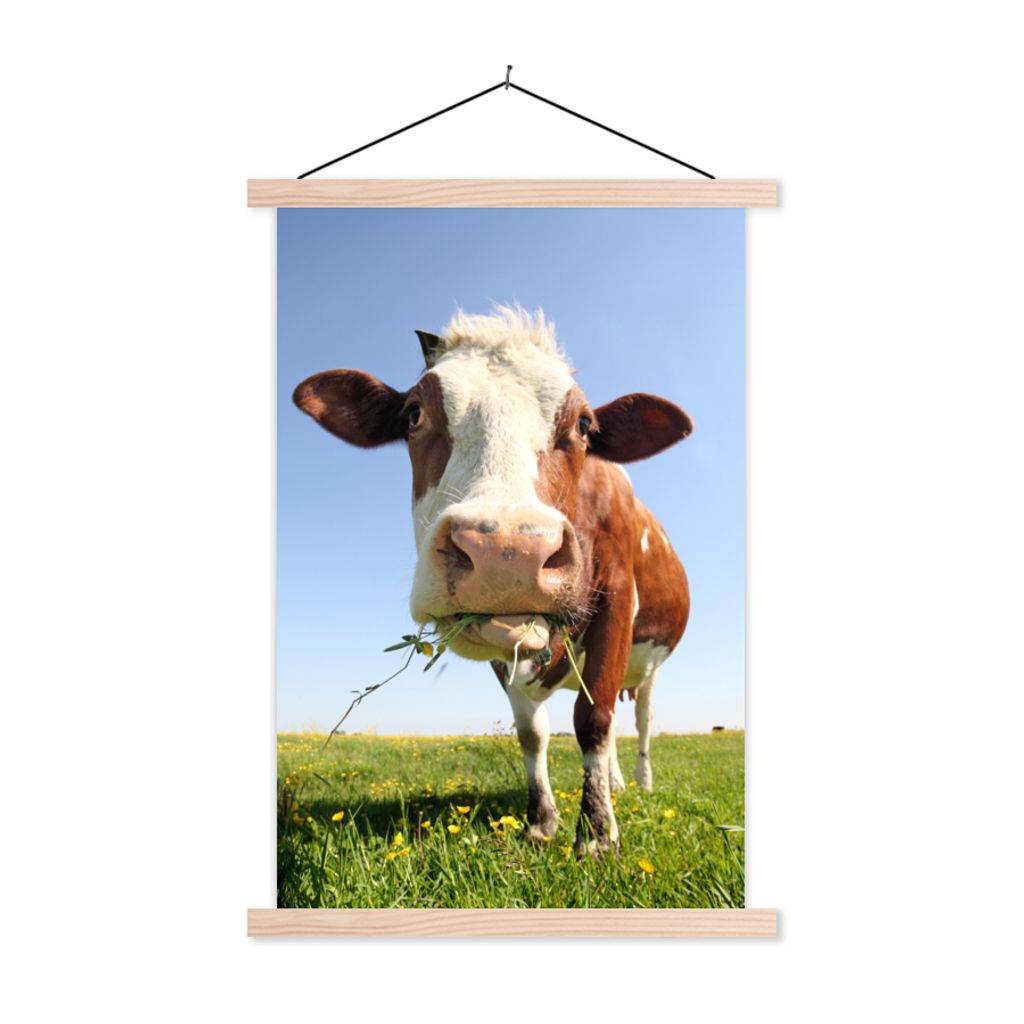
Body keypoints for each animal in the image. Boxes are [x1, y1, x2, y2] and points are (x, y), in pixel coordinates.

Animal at [293, 307, 692, 857]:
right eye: (413, 413)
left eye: (584, 425)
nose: (508, 551)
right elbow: (532, 732)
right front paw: (543, 821)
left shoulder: (616, 598)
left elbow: (593, 720)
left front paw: (595, 834)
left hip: (649, 665)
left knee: (639, 720)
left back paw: (638, 783)